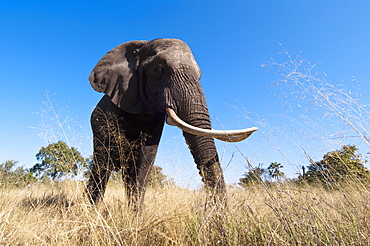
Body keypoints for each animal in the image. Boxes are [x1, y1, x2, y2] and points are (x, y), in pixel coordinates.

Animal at [86, 38, 258, 208]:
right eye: (158, 69)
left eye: (200, 75)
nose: (215, 209)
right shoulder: (110, 114)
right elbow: (106, 158)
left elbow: (144, 162)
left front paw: (134, 214)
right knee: (101, 166)